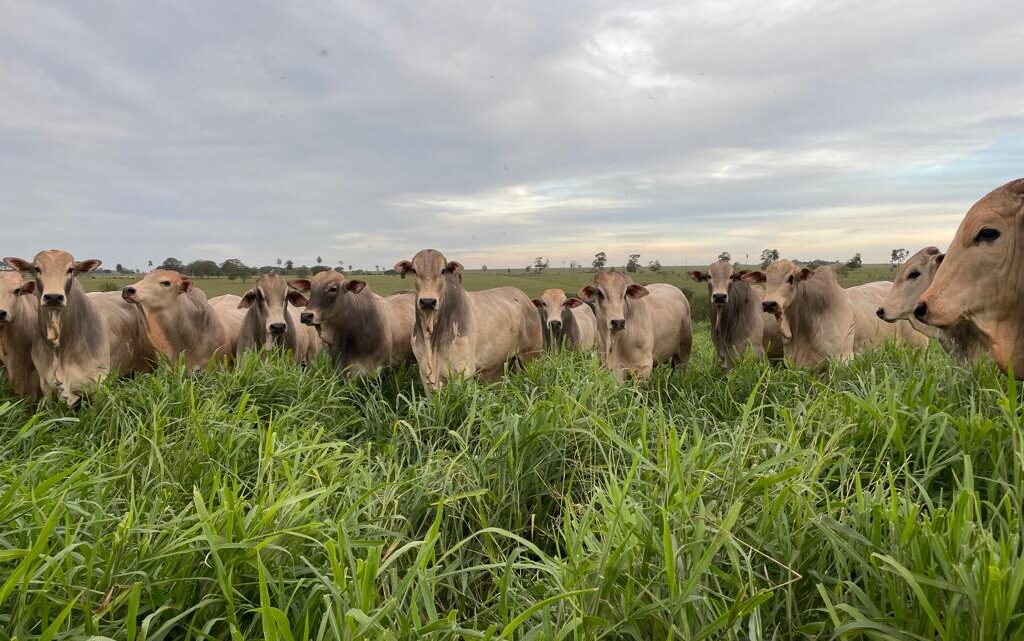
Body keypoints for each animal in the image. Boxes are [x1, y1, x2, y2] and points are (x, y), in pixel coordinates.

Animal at [391, 248, 540, 389]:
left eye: (443, 271)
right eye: (414, 270)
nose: (428, 301)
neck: (431, 336)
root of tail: (526, 299)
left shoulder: (462, 372)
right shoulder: (425, 375)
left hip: (532, 355)